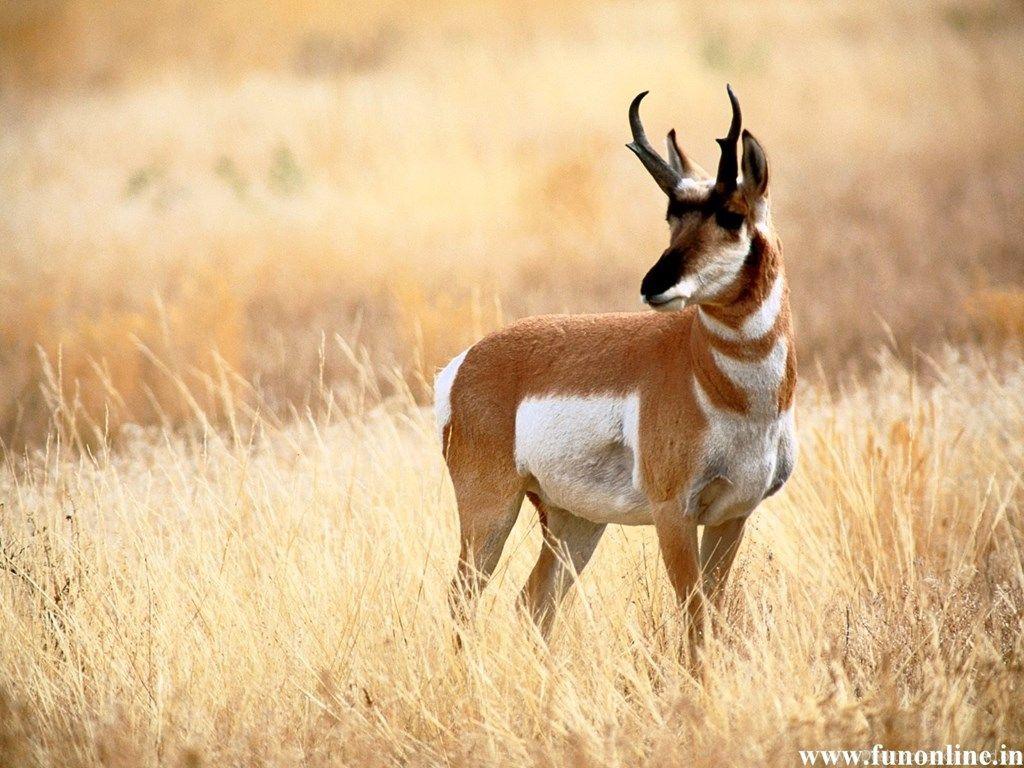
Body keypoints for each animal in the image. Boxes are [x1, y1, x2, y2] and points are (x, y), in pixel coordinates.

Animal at [435, 85, 796, 643]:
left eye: (732, 215)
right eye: (671, 216)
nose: (654, 285)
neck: (719, 383)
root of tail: (466, 362)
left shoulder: (731, 515)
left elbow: (711, 616)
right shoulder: (674, 514)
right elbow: (692, 617)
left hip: (574, 520)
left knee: (534, 601)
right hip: (491, 510)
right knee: (462, 600)